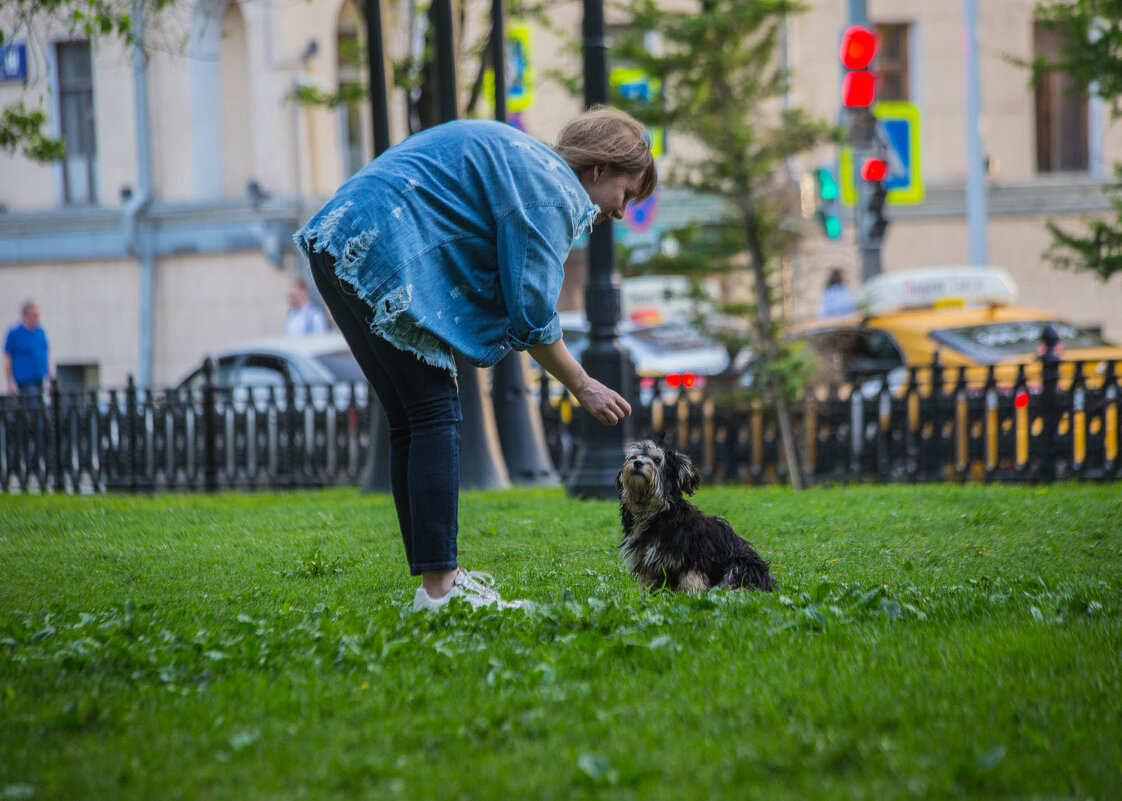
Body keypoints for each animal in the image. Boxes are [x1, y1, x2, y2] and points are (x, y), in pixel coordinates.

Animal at [614, 439, 780, 587]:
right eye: (635, 456)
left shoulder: (693, 557)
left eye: (656, 460)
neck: (654, 512)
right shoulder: (646, 561)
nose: (637, 463)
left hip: (741, 563)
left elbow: (691, 582)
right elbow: (649, 584)